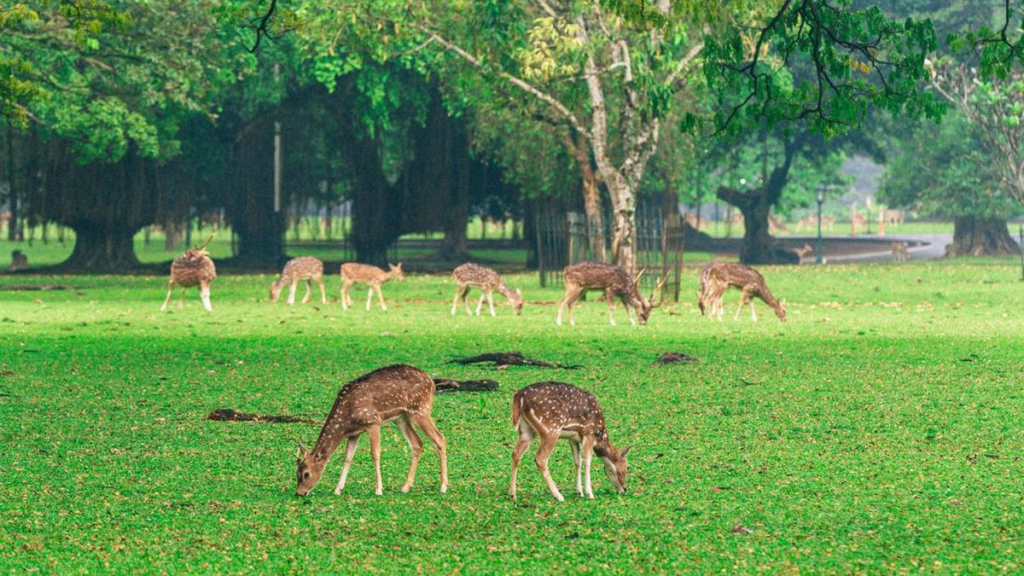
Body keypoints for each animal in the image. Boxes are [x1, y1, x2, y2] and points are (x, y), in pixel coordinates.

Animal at [292, 364, 444, 496]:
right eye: (296, 473)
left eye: (306, 474)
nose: (299, 493)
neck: (346, 421)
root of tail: (432, 383)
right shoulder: (354, 433)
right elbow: (348, 457)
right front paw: (337, 489)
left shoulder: (372, 422)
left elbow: (375, 454)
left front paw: (379, 489)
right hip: (401, 418)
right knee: (417, 443)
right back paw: (405, 487)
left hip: (420, 409)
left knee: (440, 438)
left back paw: (443, 487)